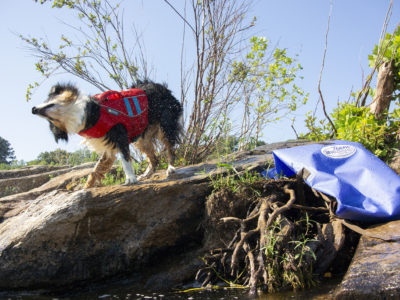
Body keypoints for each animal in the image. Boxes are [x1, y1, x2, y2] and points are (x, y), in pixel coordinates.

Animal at [32, 79, 183, 188]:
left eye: (49, 102)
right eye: (50, 120)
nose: (33, 109)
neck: (91, 112)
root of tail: (164, 89)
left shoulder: (119, 133)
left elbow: (125, 160)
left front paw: (130, 179)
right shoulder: (107, 144)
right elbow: (97, 168)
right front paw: (86, 186)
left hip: (165, 124)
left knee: (170, 148)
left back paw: (171, 168)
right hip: (143, 137)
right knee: (154, 159)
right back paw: (146, 175)